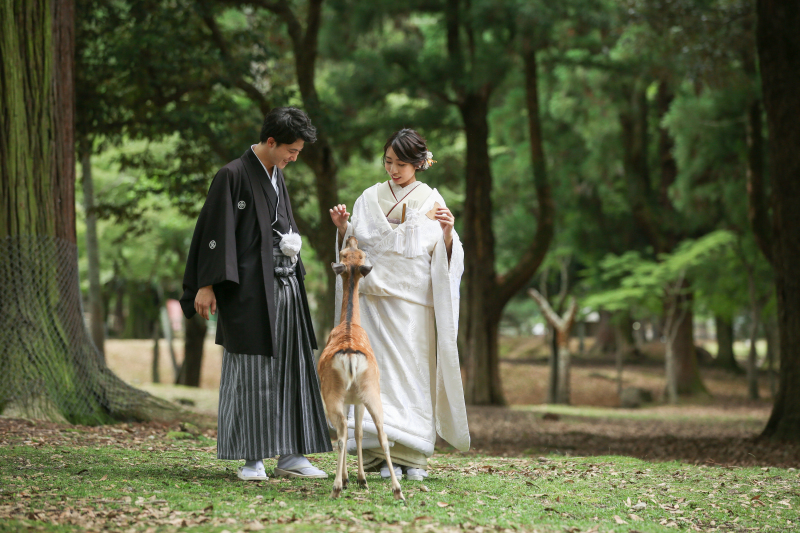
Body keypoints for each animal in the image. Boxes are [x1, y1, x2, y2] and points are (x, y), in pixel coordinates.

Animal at [318, 237, 406, 502]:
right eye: (349, 252)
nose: (351, 237)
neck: (349, 322)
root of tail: (350, 358)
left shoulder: (350, 400)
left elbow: (353, 434)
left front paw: (354, 479)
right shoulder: (357, 399)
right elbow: (358, 432)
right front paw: (360, 479)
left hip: (333, 395)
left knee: (341, 435)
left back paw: (338, 486)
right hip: (372, 393)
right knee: (383, 436)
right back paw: (398, 491)